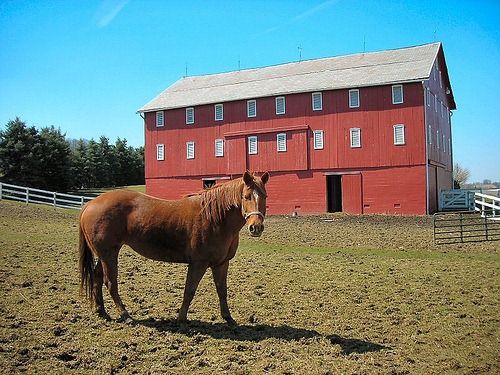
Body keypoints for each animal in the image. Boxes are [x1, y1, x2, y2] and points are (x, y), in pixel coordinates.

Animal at [79, 172, 270, 328]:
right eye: (246, 196)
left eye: (265, 196)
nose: (256, 227)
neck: (215, 218)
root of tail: (89, 204)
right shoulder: (198, 264)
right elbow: (189, 291)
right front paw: (182, 320)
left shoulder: (221, 263)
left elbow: (222, 290)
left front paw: (229, 319)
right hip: (109, 254)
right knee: (110, 283)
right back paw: (126, 316)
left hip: (104, 254)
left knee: (97, 278)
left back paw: (102, 312)